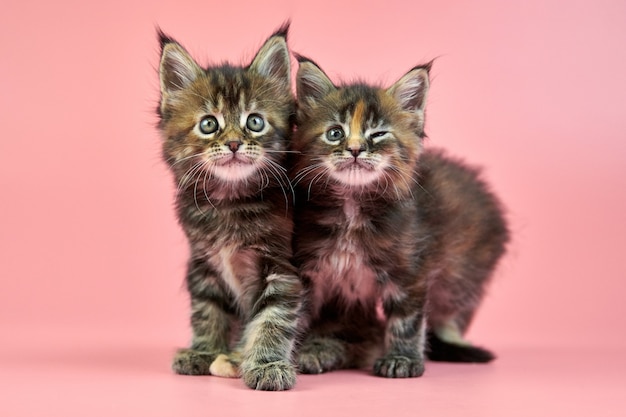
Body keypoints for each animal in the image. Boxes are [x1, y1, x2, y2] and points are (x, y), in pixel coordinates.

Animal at [156, 26, 302, 390]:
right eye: (209, 124)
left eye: (255, 122)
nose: (234, 143)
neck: (229, 203)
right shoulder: (203, 263)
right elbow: (208, 311)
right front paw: (204, 351)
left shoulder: (282, 267)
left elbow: (273, 319)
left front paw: (266, 365)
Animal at [290, 56, 510, 376]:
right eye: (335, 133)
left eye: (378, 134)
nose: (355, 150)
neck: (352, 205)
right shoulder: (310, 270)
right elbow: (295, 315)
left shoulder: (411, 268)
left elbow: (406, 320)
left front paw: (402, 359)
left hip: (465, 272)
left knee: (451, 311)